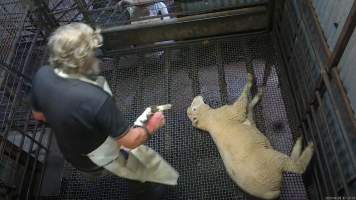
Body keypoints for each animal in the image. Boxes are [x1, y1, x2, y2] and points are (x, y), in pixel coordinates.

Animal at [186, 74, 314, 200]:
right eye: (194, 108)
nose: (197, 96)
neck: (208, 121)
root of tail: (270, 193)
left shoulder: (249, 120)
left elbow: (250, 108)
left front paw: (256, 96)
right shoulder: (233, 113)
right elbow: (242, 104)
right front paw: (249, 80)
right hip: (273, 159)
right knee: (297, 167)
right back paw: (306, 144)